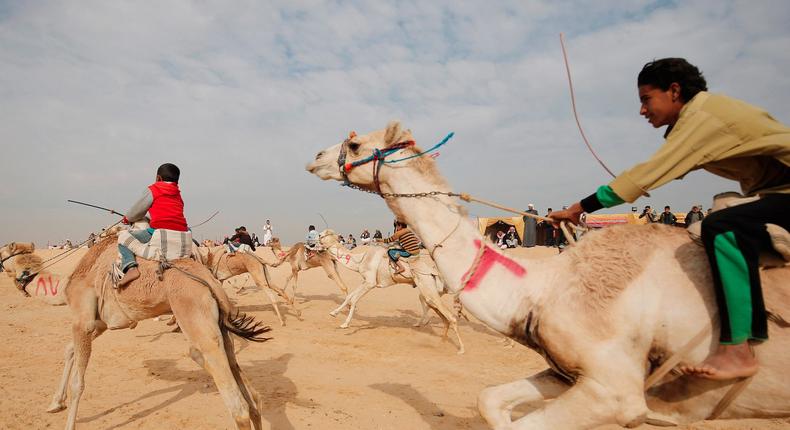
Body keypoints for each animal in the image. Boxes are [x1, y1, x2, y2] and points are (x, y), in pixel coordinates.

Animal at [50, 235, 272, 430]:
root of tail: (209, 279)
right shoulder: (100, 323)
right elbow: (69, 350)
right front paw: (55, 402)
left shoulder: (83, 322)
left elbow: (77, 383)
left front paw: (68, 422)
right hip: (219, 326)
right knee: (251, 396)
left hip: (194, 315)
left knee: (238, 407)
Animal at [316, 228, 464, 352]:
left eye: (321, 235)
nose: (313, 245)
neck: (361, 260)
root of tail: (433, 272)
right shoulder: (365, 280)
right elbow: (349, 296)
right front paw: (334, 313)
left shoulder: (370, 283)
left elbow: (354, 299)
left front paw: (345, 324)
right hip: (429, 290)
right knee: (439, 313)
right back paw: (441, 341)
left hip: (427, 286)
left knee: (450, 316)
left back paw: (461, 349)